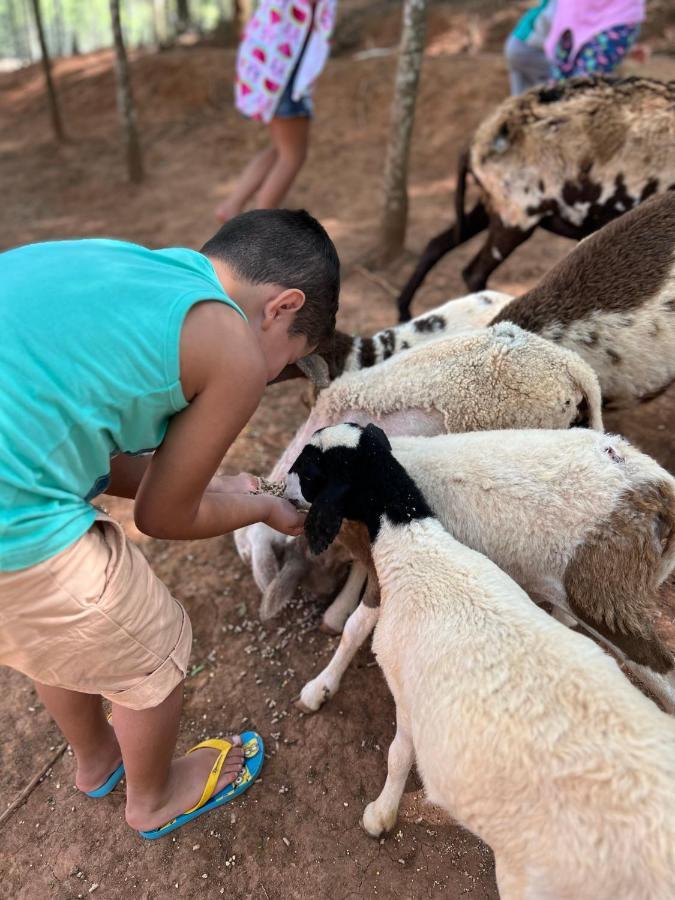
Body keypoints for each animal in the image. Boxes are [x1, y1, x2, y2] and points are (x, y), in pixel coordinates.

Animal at [290, 426, 675, 900]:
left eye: (309, 470)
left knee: (662, 670)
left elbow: (358, 629)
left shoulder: (384, 578)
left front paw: (320, 685)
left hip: (604, 595)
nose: (283, 491)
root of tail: (656, 484)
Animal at [394, 76, 675, 324]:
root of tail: (479, 139)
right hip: (514, 217)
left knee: (436, 244)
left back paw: (404, 311)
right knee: (473, 272)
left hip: (490, 208)